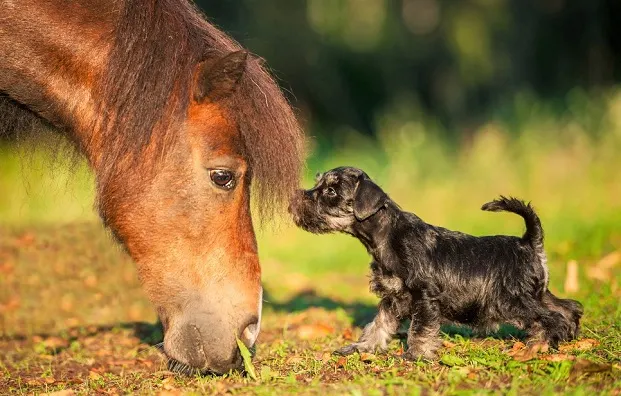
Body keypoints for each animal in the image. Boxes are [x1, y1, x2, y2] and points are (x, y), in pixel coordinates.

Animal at [288, 166, 584, 360]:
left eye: (331, 190)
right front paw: (361, 348)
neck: (386, 236)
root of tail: (528, 241)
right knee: (569, 308)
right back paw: (566, 338)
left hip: (511, 300)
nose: (293, 202)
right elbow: (378, 325)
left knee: (552, 317)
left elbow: (420, 329)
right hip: (537, 293)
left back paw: (540, 345)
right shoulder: (393, 297)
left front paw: (415, 356)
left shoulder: (424, 296)